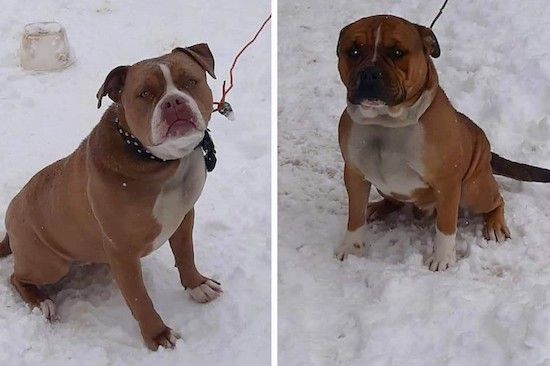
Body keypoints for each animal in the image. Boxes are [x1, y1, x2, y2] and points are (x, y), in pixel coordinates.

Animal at [1, 44, 224, 350]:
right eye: (145, 93)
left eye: (190, 81)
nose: (174, 102)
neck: (160, 163)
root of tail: (10, 214)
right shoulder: (122, 250)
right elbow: (140, 298)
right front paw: (157, 335)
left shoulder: (184, 216)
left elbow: (186, 254)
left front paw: (197, 285)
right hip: (49, 263)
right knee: (16, 277)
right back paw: (41, 301)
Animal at [334, 15, 550, 270]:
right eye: (354, 51)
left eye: (397, 52)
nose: (369, 73)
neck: (385, 124)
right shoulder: (355, 175)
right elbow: (355, 215)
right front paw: (351, 247)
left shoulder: (447, 183)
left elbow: (446, 225)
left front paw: (442, 258)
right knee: (392, 201)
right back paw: (378, 207)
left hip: (473, 190)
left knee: (497, 200)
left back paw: (495, 224)